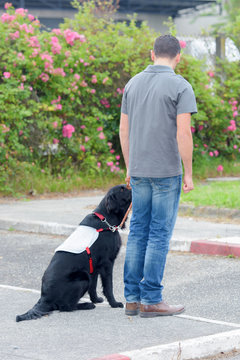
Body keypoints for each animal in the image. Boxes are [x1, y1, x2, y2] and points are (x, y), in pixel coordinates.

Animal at [15, 184, 132, 322]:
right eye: (122, 189)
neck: (106, 219)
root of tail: (44, 298)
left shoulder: (94, 266)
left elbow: (93, 286)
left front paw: (96, 299)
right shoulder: (107, 263)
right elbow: (108, 286)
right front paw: (114, 303)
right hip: (82, 278)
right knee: (66, 306)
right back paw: (86, 305)